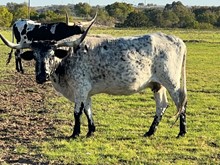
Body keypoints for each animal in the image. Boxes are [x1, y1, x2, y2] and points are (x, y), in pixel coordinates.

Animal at [0, 21, 188, 139]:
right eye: (35, 56)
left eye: (52, 54)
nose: (41, 76)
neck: (67, 57)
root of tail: (178, 40)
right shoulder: (86, 91)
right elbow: (87, 109)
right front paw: (91, 131)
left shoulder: (80, 88)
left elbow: (77, 112)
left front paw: (75, 134)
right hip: (157, 84)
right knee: (162, 105)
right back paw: (150, 132)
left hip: (172, 81)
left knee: (181, 103)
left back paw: (182, 132)